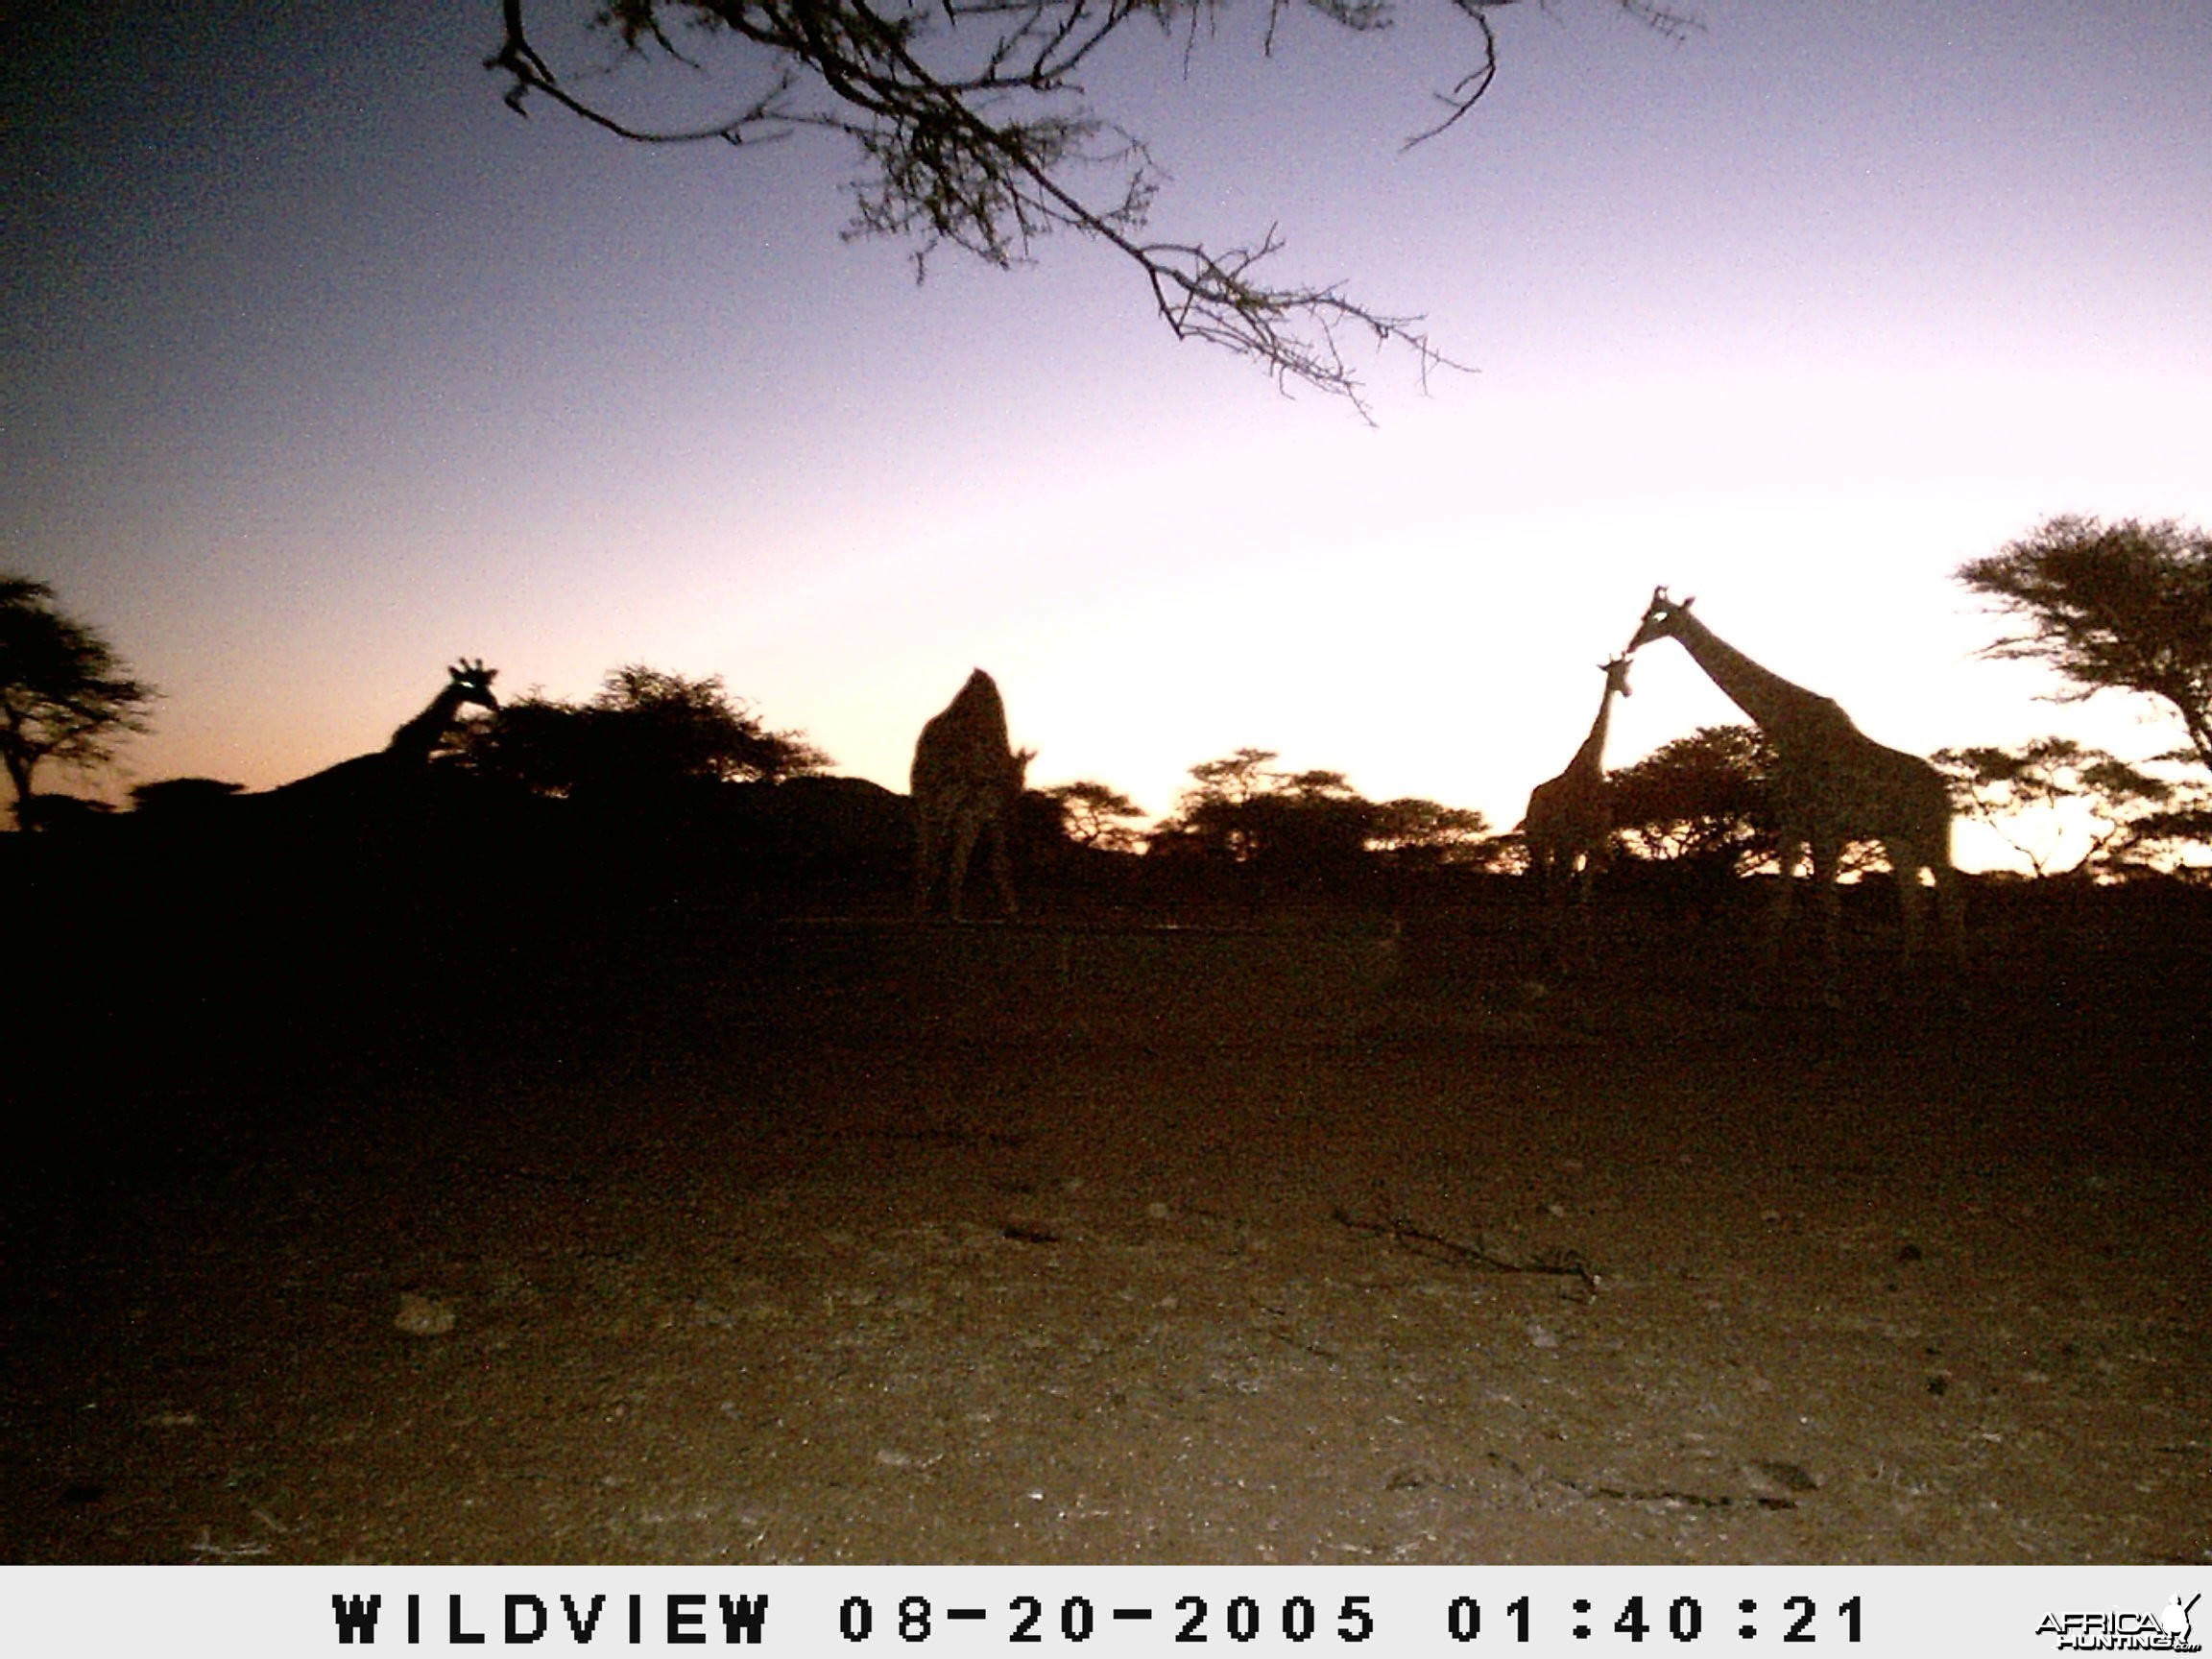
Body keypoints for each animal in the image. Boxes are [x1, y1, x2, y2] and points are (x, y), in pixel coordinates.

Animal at [911, 672, 1030, 925]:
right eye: (1021, 781)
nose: (1014, 807)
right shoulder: (991, 810)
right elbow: (999, 858)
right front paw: (1012, 910)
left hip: (926, 802)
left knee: (928, 853)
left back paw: (923, 910)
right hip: (960, 807)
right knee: (949, 854)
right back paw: (953, 913)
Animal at [1522, 654, 1646, 911]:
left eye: (1626, 672)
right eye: (1613, 672)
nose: (1627, 691)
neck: (1591, 768)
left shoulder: (1595, 840)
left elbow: (1585, 889)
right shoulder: (1570, 839)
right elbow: (1568, 886)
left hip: (1560, 844)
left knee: (1554, 879)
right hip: (1538, 838)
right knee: (1545, 878)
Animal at [1627, 592, 1955, 995]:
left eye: (1662, 617)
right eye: (1644, 615)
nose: (1632, 643)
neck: (1784, 727)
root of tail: (1945, 792)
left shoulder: (1826, 827)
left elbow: (1828, 904)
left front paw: (1831, 986)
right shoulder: (1792, 824)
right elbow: (1782, 901)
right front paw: (1764, 976)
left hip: (1934, 836)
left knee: (1951, 897)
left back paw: (1960, 980)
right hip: (1899, 839)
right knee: (1914, 901)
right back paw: (1907, 974)